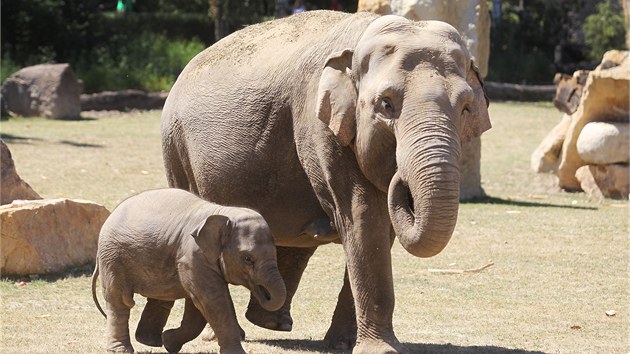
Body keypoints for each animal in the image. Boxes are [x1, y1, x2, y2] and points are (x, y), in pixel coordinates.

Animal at [92, 187, 288, 352]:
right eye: (248, 259)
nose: (263, 294)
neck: (223, 213)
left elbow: (198, 304)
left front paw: (169, 342)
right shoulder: (193, 255)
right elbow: (211, 300)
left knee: (161, 297)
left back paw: (151, 341)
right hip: (112, 257)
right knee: (120, 300)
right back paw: (122, 350)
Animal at [160, 9, 492, 352]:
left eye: (466, 107)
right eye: (386, 104)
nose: (399, 175)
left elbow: (381, 230)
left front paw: (342, 344)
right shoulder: (320, 126)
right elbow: (363, 219)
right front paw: (381, 349)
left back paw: (271, 322)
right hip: (176, 147)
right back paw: (223, 334)